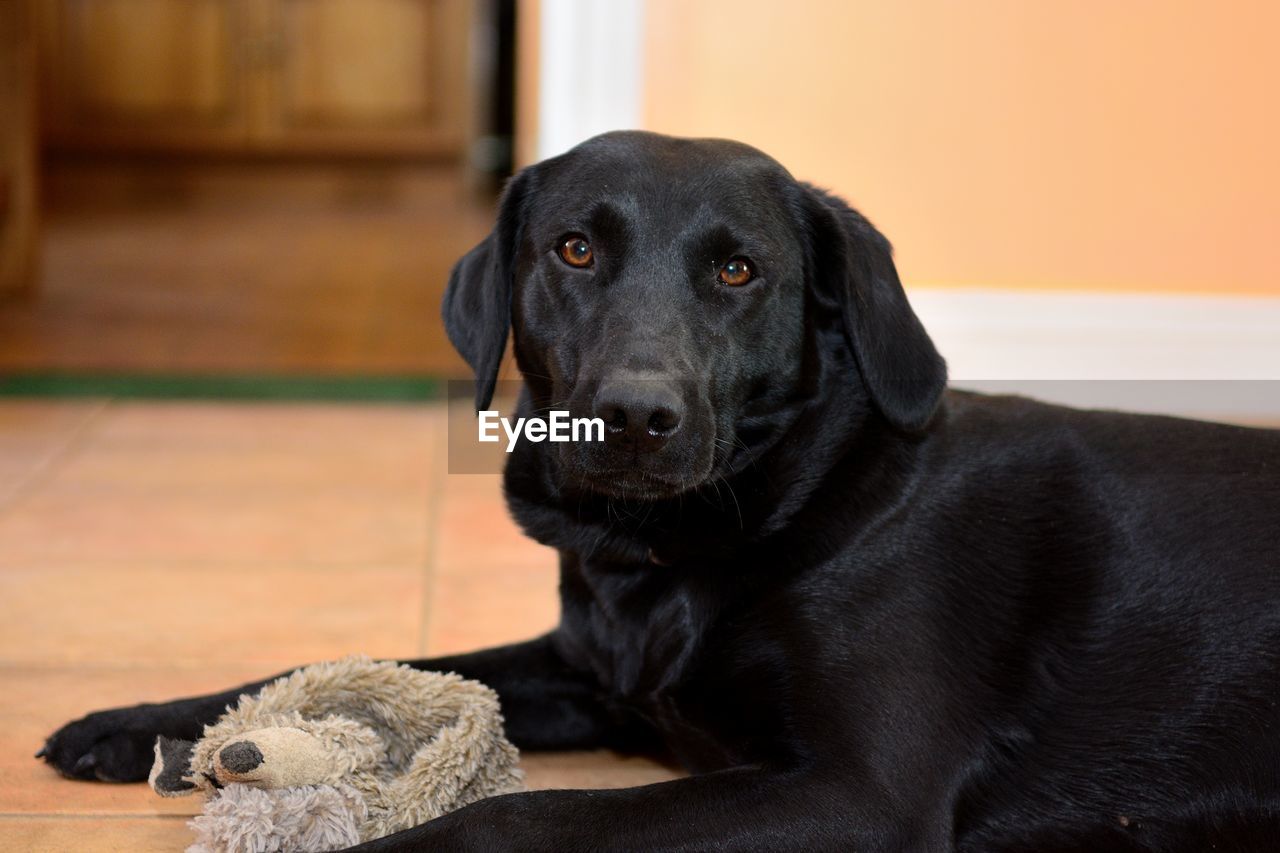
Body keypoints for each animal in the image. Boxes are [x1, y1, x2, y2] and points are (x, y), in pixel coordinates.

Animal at [35, 129, 1280, 845]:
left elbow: (527, 815)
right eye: (574, 249)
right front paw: (132, 724)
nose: (635, 415)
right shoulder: (589, 676)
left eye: (737, 270)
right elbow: (337, 671)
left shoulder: (855, 791)